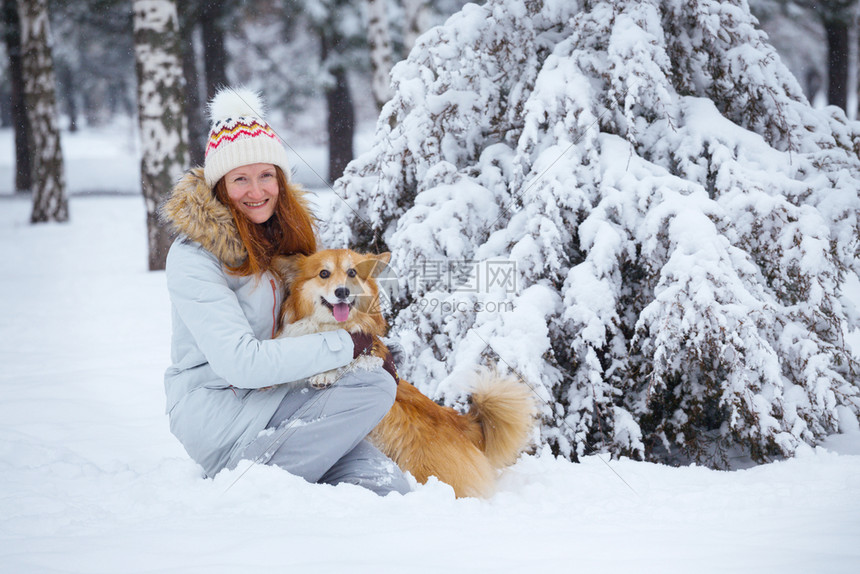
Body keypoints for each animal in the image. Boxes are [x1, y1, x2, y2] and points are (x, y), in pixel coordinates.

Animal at [274, 251, 536, 500]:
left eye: (352, 273)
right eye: (324, 273)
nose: (342, 291)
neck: (331, 327)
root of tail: (463, 423)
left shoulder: (366, 350)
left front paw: (325, 373)